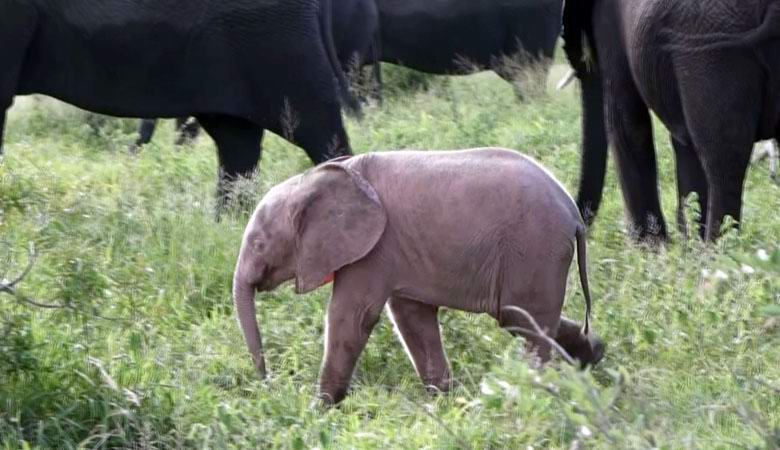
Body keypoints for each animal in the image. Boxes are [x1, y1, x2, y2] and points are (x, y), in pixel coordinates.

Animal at [235, 148, 608, 404]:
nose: (267, 381)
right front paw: (445, 402)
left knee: (521, 321)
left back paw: (534, 394)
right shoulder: (392, 253)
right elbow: (411, 317)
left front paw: (319, 409)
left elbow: (351, 318)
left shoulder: (374, 250)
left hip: (533, 248)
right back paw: (592, 356)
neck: (314, 178)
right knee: (526, 320)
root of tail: (573, 214)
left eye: (258, 244)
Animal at [564, 0, 780, 243]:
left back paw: (717, 249)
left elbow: (626, 123)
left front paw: (653, 246)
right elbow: (682, 139)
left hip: (713, 49)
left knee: (724, 163)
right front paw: (686, 241)